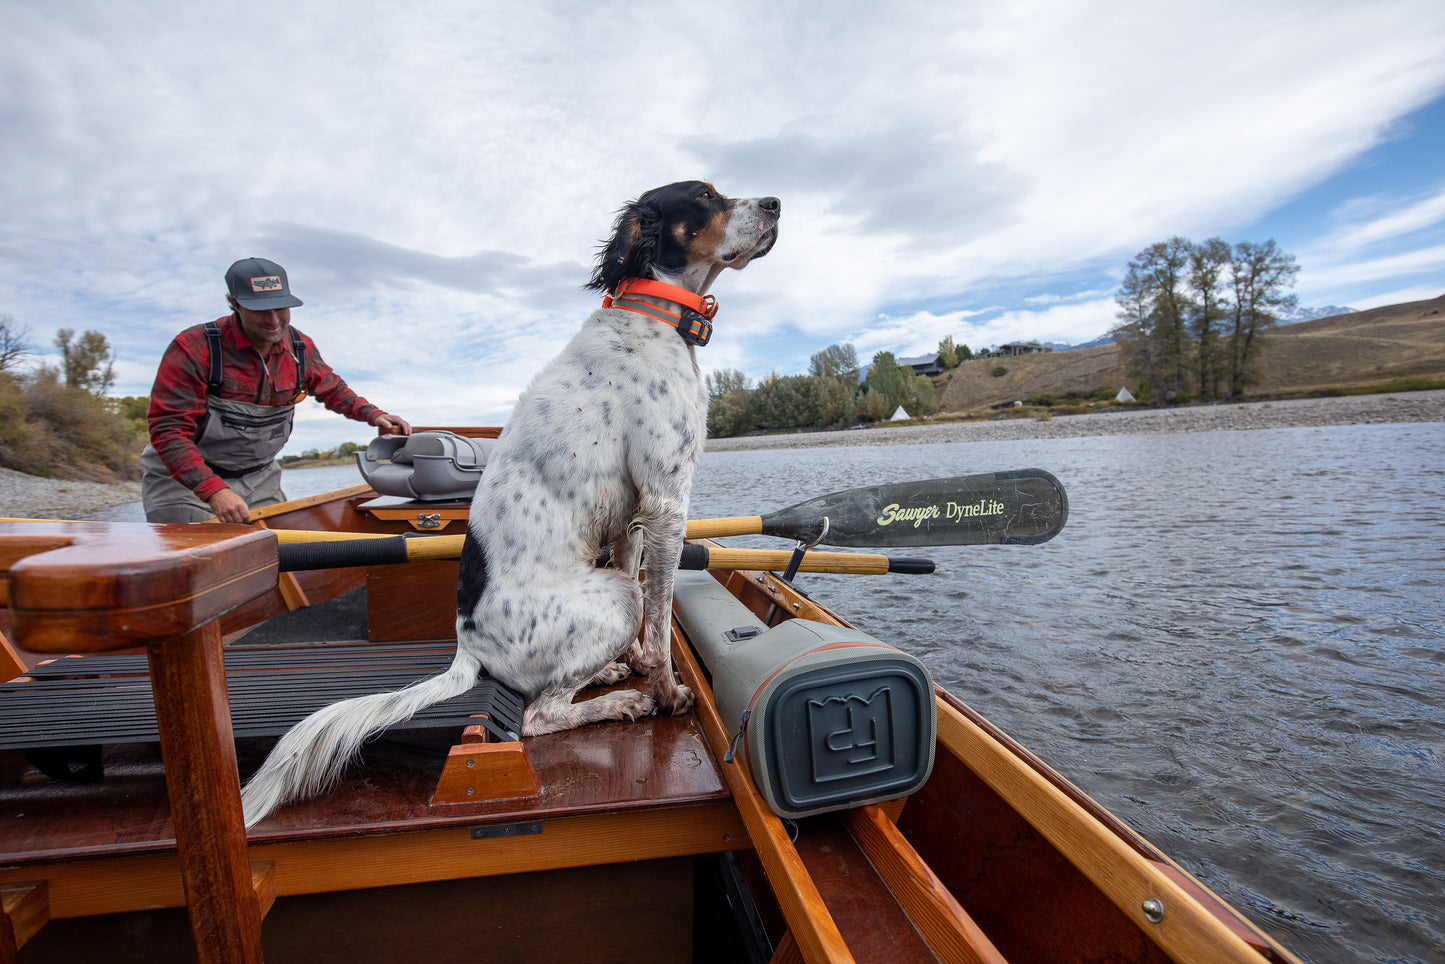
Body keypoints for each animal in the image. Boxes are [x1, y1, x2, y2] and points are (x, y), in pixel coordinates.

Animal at [242, 182, 780, 832]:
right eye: (704, 196)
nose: (776, 204)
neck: (652, 314)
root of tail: (467, 650)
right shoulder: (667, 500)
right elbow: (659, 633)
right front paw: (668, 692)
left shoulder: (631, 519)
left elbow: (642, 614)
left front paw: (631, 665)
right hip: (611, 600)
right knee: (538, 716)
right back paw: (621, 702)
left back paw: (606, 672)